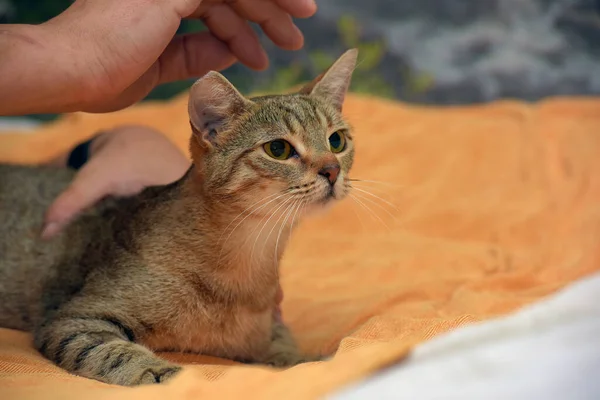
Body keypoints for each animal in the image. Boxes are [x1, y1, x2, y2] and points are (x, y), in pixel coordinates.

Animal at [0, 48, 356, 386]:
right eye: (278, 149)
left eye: (336, 140)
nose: (332, 170)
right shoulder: (74, 319)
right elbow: (118, 354)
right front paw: (164, 373)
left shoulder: (267, 333)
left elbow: (286, 352)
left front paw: (307, 360)